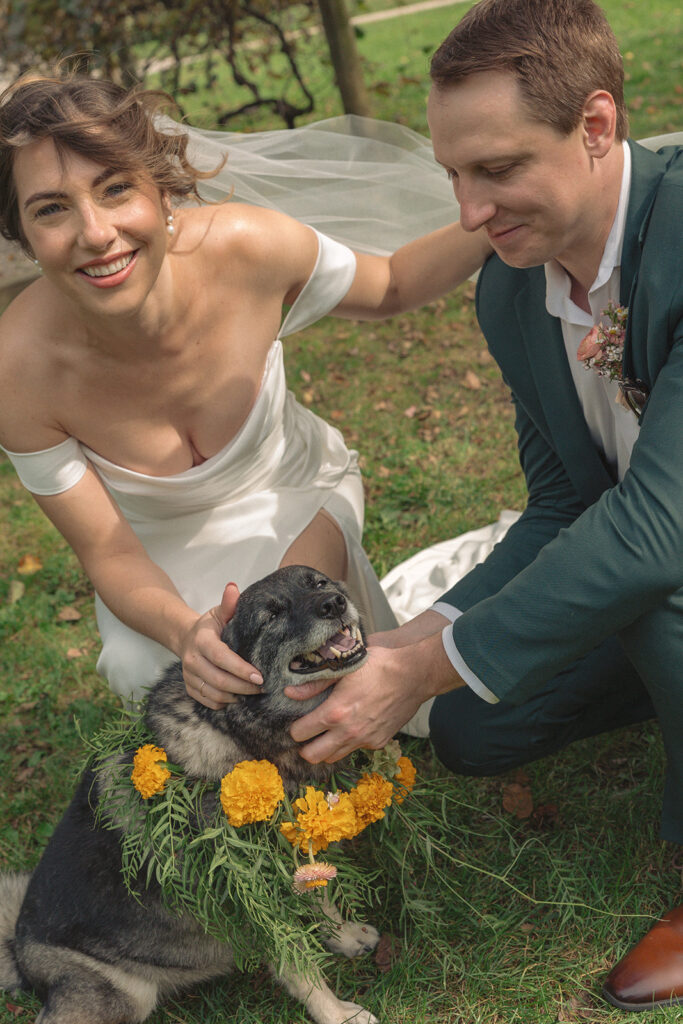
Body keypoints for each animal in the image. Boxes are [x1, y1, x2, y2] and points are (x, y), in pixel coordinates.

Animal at [0, 565, 382, 1024]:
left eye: (318, 582)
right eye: (270, 616)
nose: (334, 604)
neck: (238, 731)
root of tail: (20, 951)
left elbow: (322, 902)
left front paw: (344, 936)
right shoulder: (249, 894)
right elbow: (297, 963)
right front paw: (338, 1014)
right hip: (121, 995)